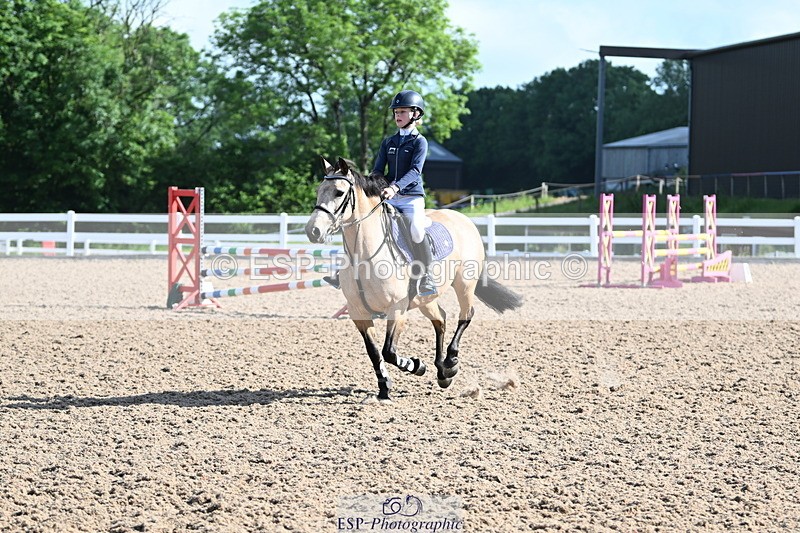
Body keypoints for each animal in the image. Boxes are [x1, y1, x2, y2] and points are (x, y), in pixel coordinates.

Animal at [305, 157, 523, 401]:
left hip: (464, 284)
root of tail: (462, 218)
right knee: (441, 320)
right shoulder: (357, 312)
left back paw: (451, 362)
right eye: (319, 190)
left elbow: (389, 352)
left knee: (465, 316)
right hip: (425, 299)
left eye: (339, 192)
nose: (312, 231)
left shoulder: (397, 309)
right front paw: (384, 389)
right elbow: (374, 353)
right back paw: (443, 372)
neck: (363, 255)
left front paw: (417, 366)